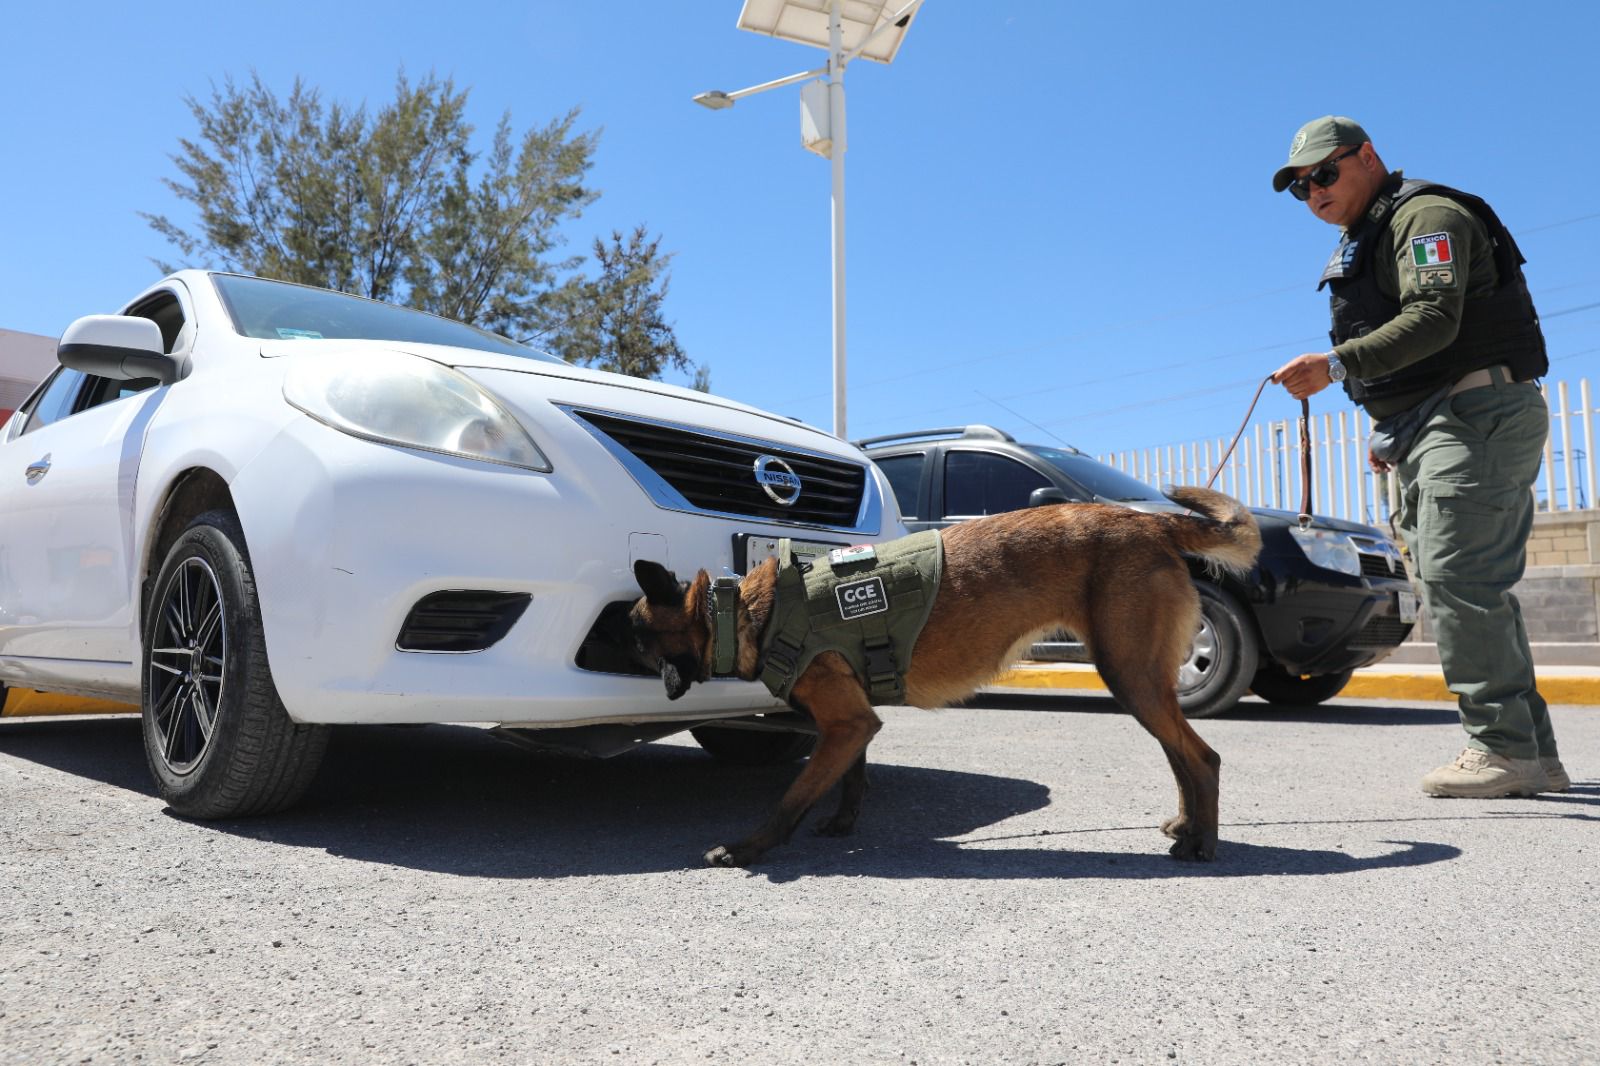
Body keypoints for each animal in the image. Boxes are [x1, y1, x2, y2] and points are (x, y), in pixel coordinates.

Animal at [624, 483, 1260, 864]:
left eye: (631, 631)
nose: (611, 644)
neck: (745, 611)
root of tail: (1152, 524)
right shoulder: (853, 724)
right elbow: (850, 778)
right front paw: (842, 823)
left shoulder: (845, 723)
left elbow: (792, 796)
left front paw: (749, 847)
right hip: (1140, 682)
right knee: (1181, 757)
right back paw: (1186, 827)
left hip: (1131, 676)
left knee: (1202, 758)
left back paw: (1204, 844)